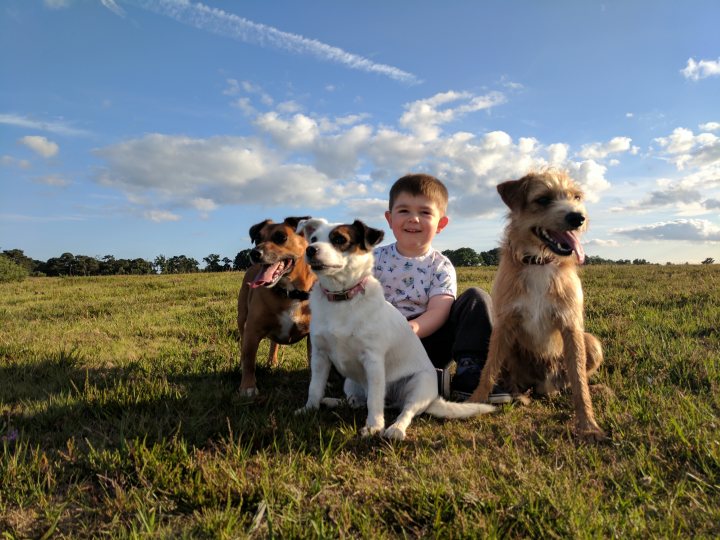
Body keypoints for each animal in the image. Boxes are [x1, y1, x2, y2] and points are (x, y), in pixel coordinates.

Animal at [238, 215, 314, 396]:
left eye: (281, 237)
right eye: (258, 238)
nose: (254, 253)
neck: (289, 292)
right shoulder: (252, 330)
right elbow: (249, 359)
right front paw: (248, 386)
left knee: (274, 343)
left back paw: (272, 361)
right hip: (241, 318)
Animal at [294, 217, 496, 440]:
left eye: (339, 239)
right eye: (313, 238)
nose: (310, 250)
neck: (342, 299)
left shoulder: (373, 360)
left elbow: (374, 400)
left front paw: (374, 426)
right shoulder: (320, 356)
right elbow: (315, 388)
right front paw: (309, 409)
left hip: (420, 385)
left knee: (405, 411)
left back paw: (395, 428)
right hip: (350, 381)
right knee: (358, 401)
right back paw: (334, 402)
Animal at [466, 171, 608, 440]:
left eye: (576, 197)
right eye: (543, 199)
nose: (578, 217)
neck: (540, 262)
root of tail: (545, 386)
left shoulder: (571, 325)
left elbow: (579, 381)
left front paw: (588, 425)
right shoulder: (504, 324)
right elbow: (489, 370)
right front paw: (474, 403)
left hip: (591, 343)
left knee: (575, 378)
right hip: (510, 345)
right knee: (512, 377)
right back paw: (519, 395)